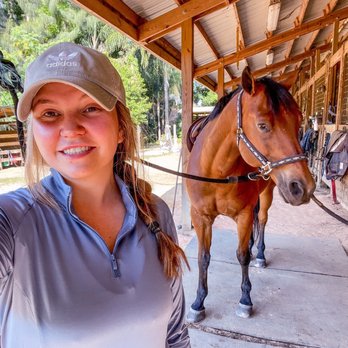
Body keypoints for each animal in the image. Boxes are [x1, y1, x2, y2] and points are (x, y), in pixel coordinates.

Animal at [185, 66, 316, 320]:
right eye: (263, 125)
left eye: (298, 123)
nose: (303, 187)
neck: (217, 172)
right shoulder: (200, 216)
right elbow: (203, 258)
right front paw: (198, 302)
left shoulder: (244, 215)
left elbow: (242, 256)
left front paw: (245, 300)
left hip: (267, 195)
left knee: (262, 220)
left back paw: (261, 254)